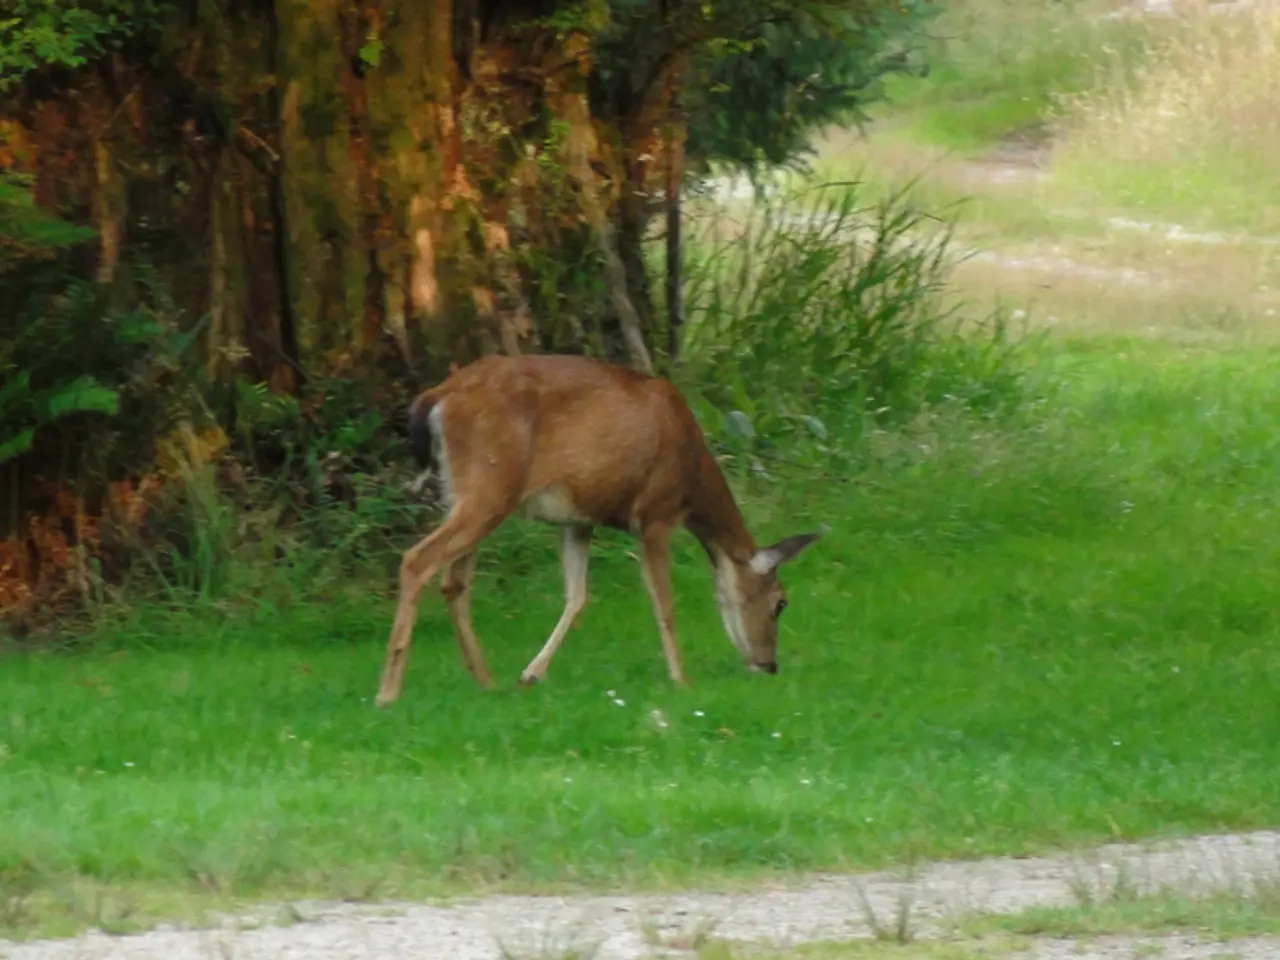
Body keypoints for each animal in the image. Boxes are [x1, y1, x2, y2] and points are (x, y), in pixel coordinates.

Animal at [375, 353, 821, 706]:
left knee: (453, 582)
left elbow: (578, 596)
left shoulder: (579, 520)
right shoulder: (654, 513)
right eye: (781, 602)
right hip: (488, 486)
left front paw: (531, 674)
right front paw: (682, 680)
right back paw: (388, 692)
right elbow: (665, 604)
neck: (691, 472)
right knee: (418, 560)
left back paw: (486, 682)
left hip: (466, 492)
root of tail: (438, 397)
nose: (769, 665)